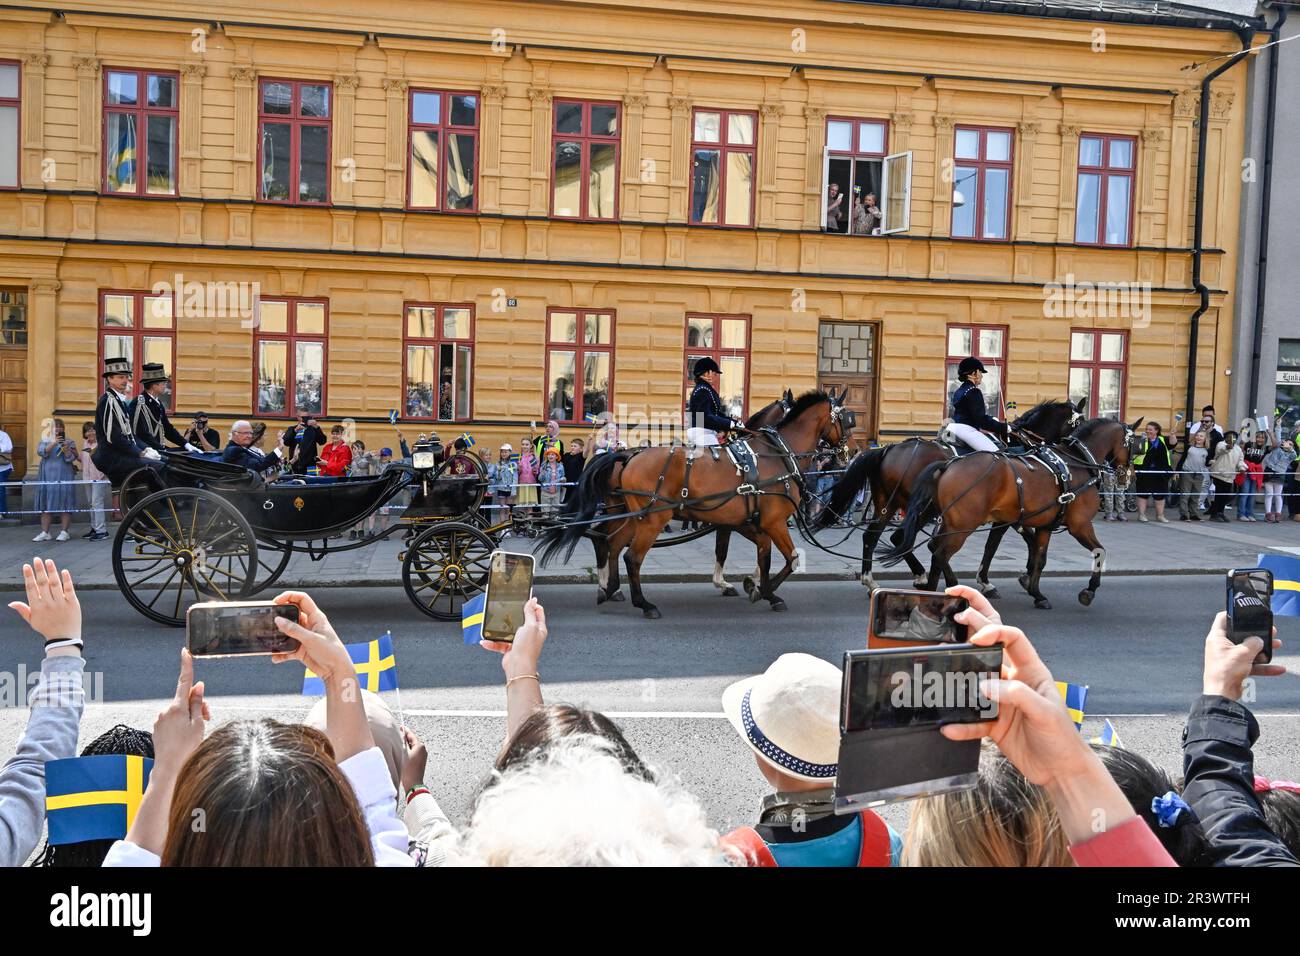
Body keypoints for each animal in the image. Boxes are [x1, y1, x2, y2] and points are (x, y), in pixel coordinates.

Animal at [543, 390, 857, 621]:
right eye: (847, 419)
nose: (851, 451)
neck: (774, 456)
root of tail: (628, 455)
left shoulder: (748, 522)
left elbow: (759, 555)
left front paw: (753, 585)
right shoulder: (771, 522)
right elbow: (789, 558)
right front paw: (764, 590)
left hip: (631, 515)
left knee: (610, 542)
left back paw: (609, 589)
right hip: (653, 519)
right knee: (630, 555)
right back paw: (643, 603)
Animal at [821, 395, 1086, 590]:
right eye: (1080, 423)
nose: (1078, 448)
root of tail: (889, 448)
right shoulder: (1010, 515)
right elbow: (1002, 544)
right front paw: (994, 579)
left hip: (890, 504)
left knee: (877, 536)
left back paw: (882, 577)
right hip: (917, 508)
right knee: (902, 539)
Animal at [883, 416, 1138, 608]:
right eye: (1133, 445)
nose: (1128, 476)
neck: (1075, 462)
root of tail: (948, 464)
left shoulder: (1043, 525)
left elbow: (1039, 557)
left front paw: (1036, 592)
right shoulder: (1080, 525)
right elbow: (1099, 551)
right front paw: (1089, 590)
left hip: (944, 521)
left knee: (926, 547)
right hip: (960, 525)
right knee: (938, 553)